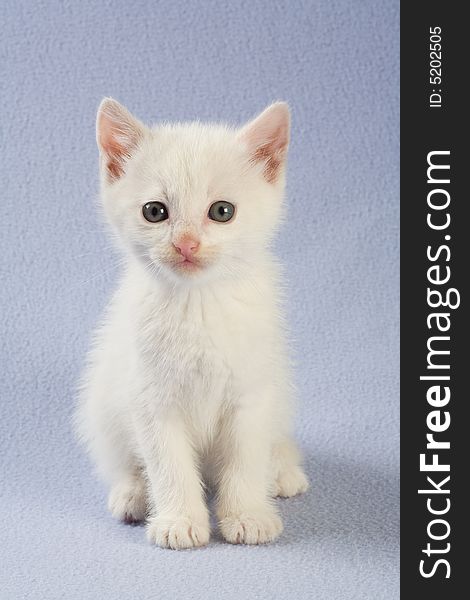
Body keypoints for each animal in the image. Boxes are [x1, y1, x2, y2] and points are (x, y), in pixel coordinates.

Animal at [75, 98, 308, 548]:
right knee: (121, 458)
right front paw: (179, 521)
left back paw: (282, 472)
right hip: (103, 402)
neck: (196, 302)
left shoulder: (251, 392)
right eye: (155, 212)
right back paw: (133, 493)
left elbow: (245, 457)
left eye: (222, 211)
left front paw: (247, 515)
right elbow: (168, 463)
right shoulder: (149, 397)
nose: (186, 243)